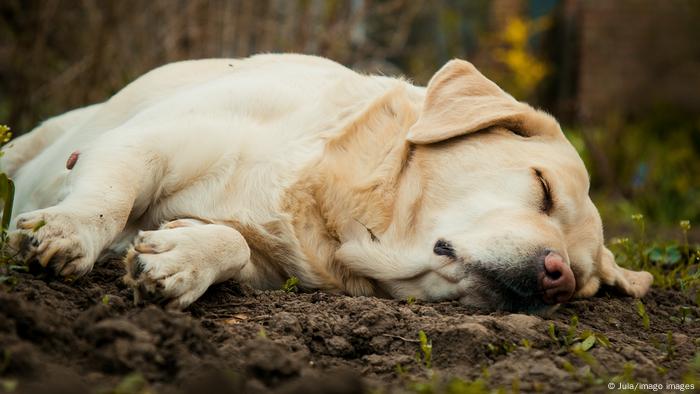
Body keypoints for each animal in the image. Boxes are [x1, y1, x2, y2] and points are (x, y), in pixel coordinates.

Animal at [2, 53, 652, 312]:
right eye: (543, 188)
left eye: (583, 284)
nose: (557, 279)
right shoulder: (145, 141)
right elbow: (109, 198)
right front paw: (69, 230)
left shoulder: (272, 264)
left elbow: (231, 243)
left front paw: (181, 259)